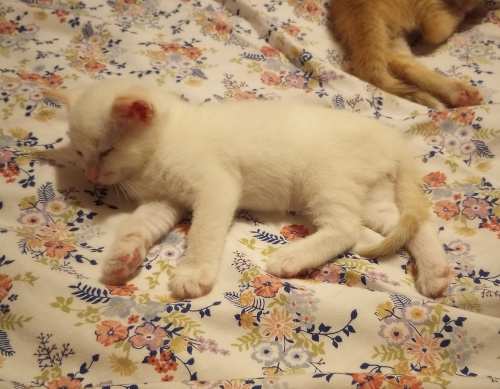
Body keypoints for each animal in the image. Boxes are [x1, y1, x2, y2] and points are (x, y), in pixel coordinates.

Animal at [43, 81, 450, 300]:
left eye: (105, 150)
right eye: (79, 153)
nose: (91, 175)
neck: (160, 147)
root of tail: (394, 140)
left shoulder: (218, 185)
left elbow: (204, 231)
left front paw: (193, 274)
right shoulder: (164, 199)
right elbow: (137, 224)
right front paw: (123, 256)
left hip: (326, 177)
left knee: (347, 229)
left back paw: (292, 257)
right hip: (373, 194)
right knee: (413, 224)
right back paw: (435, 275)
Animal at [330, 0, 486, 108]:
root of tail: (362, 9)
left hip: (392, 38)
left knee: (405, 66)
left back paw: (458, 94)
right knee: (436, 30)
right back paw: (460, 13)